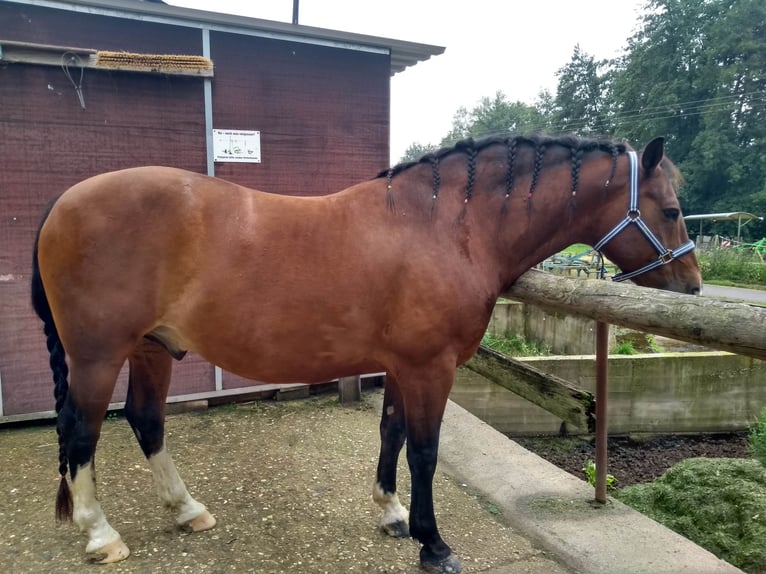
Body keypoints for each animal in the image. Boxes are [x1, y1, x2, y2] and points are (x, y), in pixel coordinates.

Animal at [30, 134, 704, 572]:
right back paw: (101, 535)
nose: (694, 286)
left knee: (146, 421)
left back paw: (187, 510)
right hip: (98, 356)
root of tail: (62, 203)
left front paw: (392, 513)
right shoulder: (431, 368)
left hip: (151, 349)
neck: (443, 228)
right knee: (82, 434)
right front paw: (434, 544)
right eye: (671, 210)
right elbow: (426, 451)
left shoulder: (403, 365)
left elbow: (392, 433)